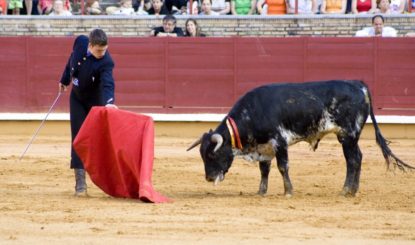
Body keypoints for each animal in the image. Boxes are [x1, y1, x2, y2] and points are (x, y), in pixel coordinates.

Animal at [188, 80, 415, 197]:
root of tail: (358, 84)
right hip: (349, 136)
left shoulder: (279, 142)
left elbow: (282, 167)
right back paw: (353, 190)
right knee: (357, 158)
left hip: (348, 135)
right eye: (202, 156)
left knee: (353, 159)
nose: (209, 178)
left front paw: (288, 191)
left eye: (212, 155)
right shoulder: (264, 148)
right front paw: (261, 192)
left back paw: (346, 190)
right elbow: (264, 170)